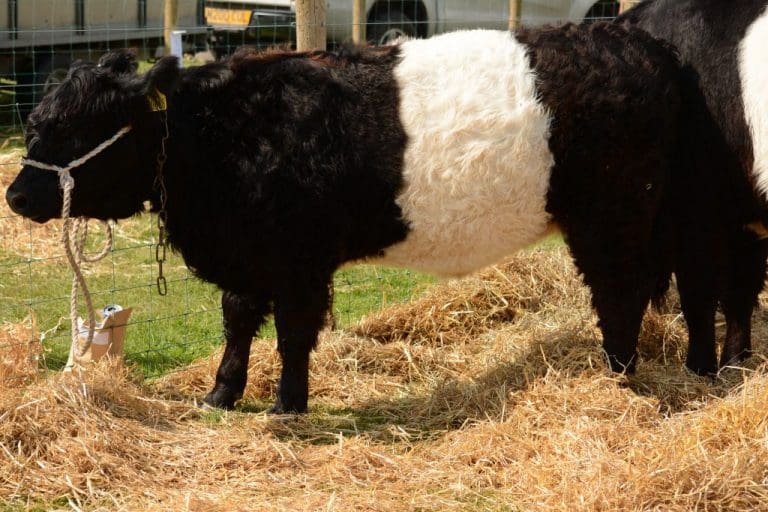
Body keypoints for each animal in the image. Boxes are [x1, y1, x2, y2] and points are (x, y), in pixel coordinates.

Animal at [6, 23, 686, 413]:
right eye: (37, 119)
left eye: (78, 128)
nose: (16, 196)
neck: (223, 134)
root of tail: (635, 43)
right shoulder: (247, 259)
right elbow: (237, 323)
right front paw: (221, 395)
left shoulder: (299, 262)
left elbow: (292, 334)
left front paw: (287, 406)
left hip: (612, 217)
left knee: (619, 294)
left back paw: (617, 376)